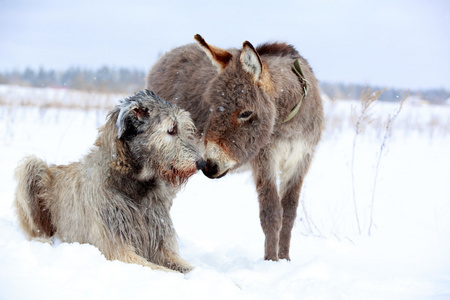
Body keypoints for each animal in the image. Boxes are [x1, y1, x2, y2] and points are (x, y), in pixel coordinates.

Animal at [12, 90, 206, 274]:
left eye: (185, 129)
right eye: (172, 129)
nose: (202, 164)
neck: (134, 186)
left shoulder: (160, 241)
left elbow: (184, 266)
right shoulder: (118, 249)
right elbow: (162, 270)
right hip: (31, 167)